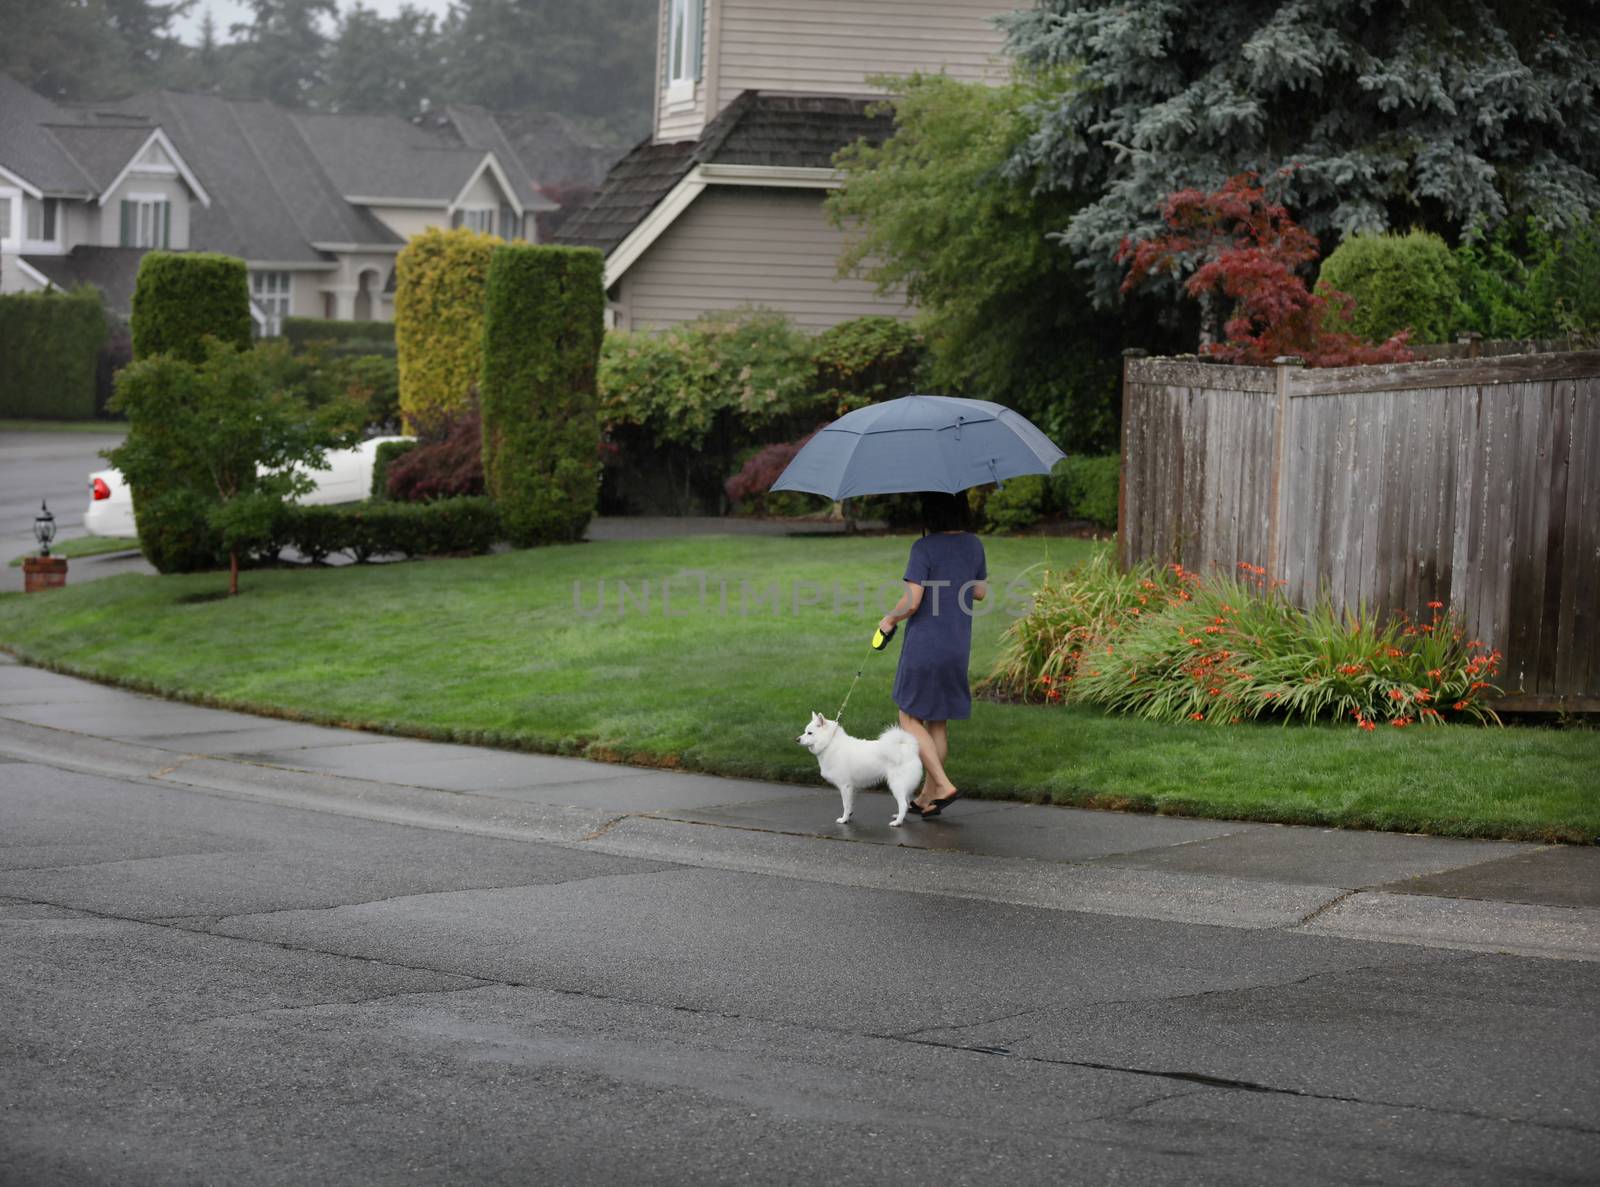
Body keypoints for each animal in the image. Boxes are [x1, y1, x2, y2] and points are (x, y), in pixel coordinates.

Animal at [796, 716, 928, 825]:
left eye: (810, 733)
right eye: (805, 731)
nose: (797, 739)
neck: (830, 744)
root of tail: (908, 749)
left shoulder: (845, 786)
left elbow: (845, 804)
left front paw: (844, 820)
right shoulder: (852, 788)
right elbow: (850, 805)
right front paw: (849, 816)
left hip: (897, 785)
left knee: (903, 804)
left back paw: (897, 822)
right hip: (904, 786)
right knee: (906, 803)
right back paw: (900, 817)